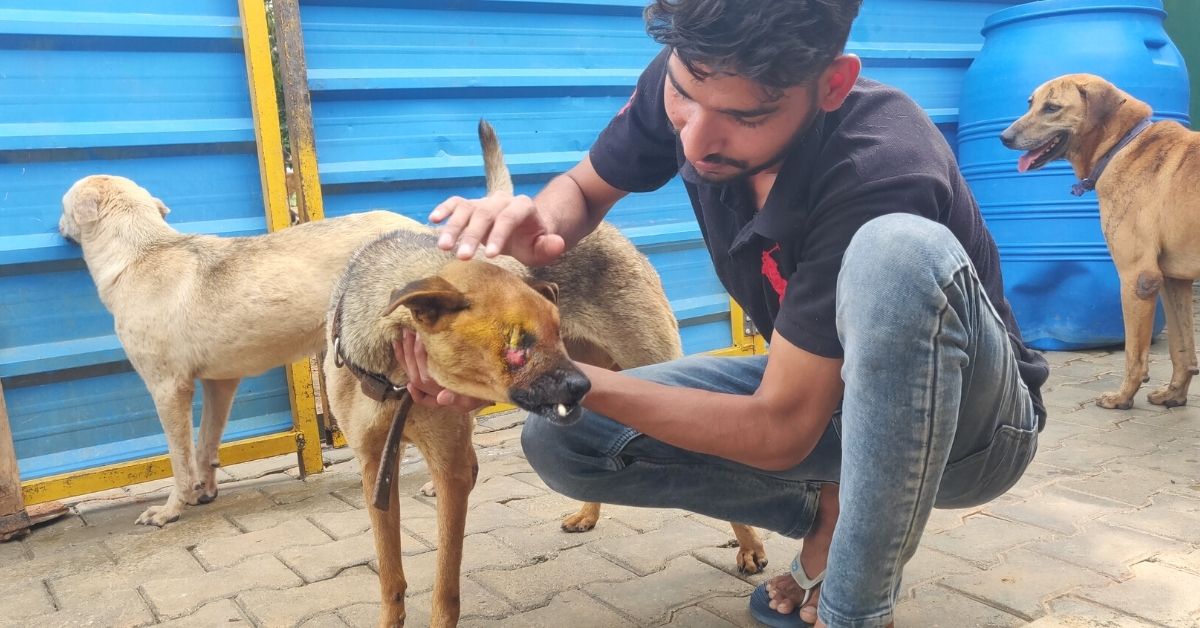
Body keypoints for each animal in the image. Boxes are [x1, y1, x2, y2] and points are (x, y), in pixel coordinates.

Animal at [60, 175, 417, 525]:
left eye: (63, 205)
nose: (58, 224)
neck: (139, 253)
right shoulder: (220, 383)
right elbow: (205, 445)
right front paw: (203, 491)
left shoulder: (168, 389)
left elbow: (179, 458)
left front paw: (171, 509)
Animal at [324, 121, 763, 624]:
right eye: (517, 344)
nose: (579, 382)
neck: (392, 372)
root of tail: (610, 230)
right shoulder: (375, 468)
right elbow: (390, 577)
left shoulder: (452, 468)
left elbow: (445, 584)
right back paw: (588, 513)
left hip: (649, 369)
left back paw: (750, 545)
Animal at [998, 73, 1200, 410]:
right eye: (1030, 103)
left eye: (1052, 107)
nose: (1004, 137)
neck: (1122, 145)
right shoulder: (1174, 281)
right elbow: (1181, 348)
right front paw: (1174, 395)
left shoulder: (1138, 278)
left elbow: (1134, 353)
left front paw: (1122, 397)